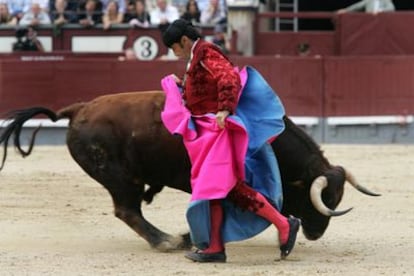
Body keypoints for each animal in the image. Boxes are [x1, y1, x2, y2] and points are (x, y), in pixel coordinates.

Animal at [0, 91, 378, 251]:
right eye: (319, 198)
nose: (316, 233)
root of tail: (77, 109)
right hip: (120, 177)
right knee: (128, 210)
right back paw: (167, 240)